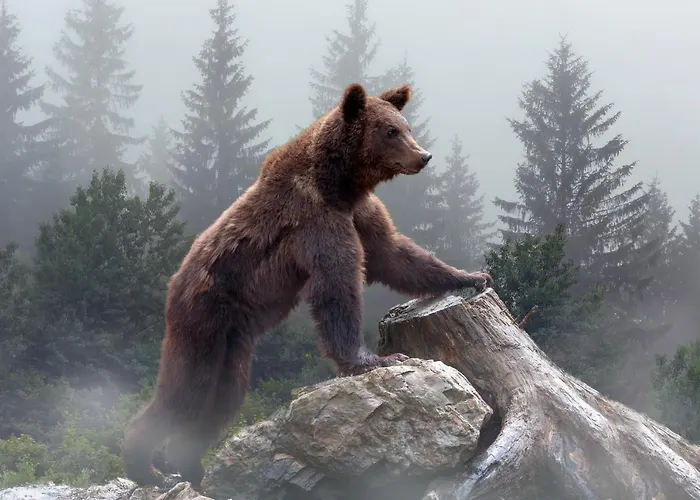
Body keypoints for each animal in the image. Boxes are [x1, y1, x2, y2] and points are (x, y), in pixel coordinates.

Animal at [121, 82, 493, 488]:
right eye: (391, 131)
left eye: (406, 126)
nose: (423, 156)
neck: (339, 184)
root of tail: (174, 283)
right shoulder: (315, 218)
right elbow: (337, 284)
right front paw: (375, 359)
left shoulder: (359, 211)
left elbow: (393, 253)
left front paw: (472, 276)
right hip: (203, 318)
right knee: (186, 390)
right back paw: (146, 467)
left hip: (234, 343)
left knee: (224, 398)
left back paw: (189, 464)